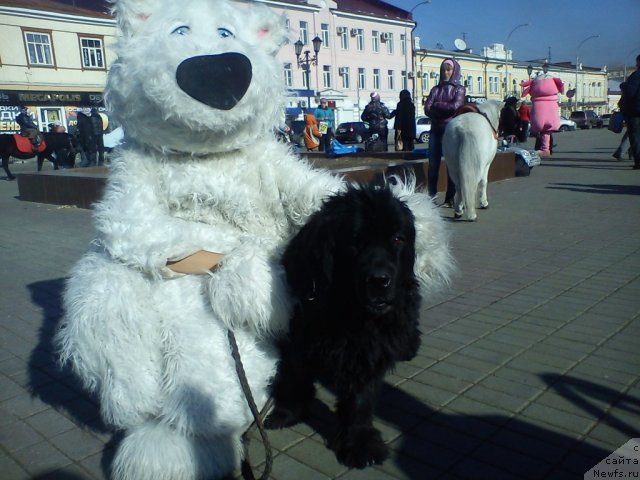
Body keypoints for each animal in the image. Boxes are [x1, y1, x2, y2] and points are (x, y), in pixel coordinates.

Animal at [264, 184, 420, 468]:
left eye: (397, 239)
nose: (379, 280)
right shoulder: (300, 333)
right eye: (355, 240)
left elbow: (360, 398)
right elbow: (295, 373)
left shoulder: (367, 350)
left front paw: (360, 442)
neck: (349, 312)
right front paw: (287, 412)